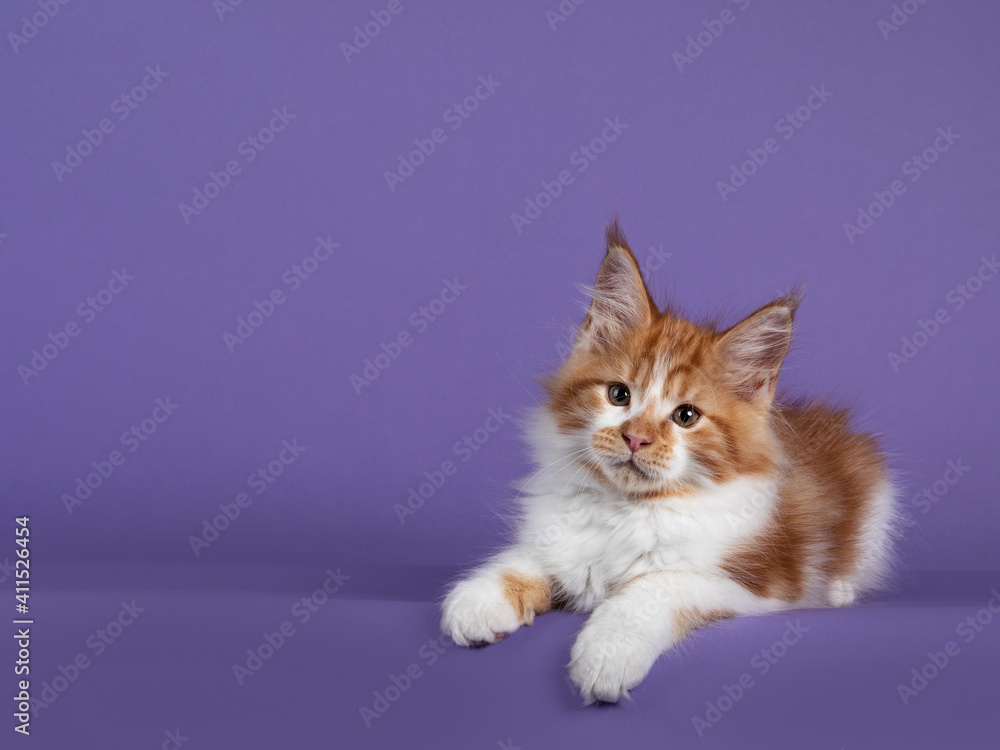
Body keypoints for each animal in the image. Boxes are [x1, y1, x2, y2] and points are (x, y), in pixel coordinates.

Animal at [442, 217, 896, 704]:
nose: (635, 437)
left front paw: (606, 654)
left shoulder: (746, 581)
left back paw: (839, 589)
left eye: (686, 416)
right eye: (618, 394)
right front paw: (478, 599)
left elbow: (650, 589)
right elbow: (526, 558)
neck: (627, 507)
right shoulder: (559, 538)